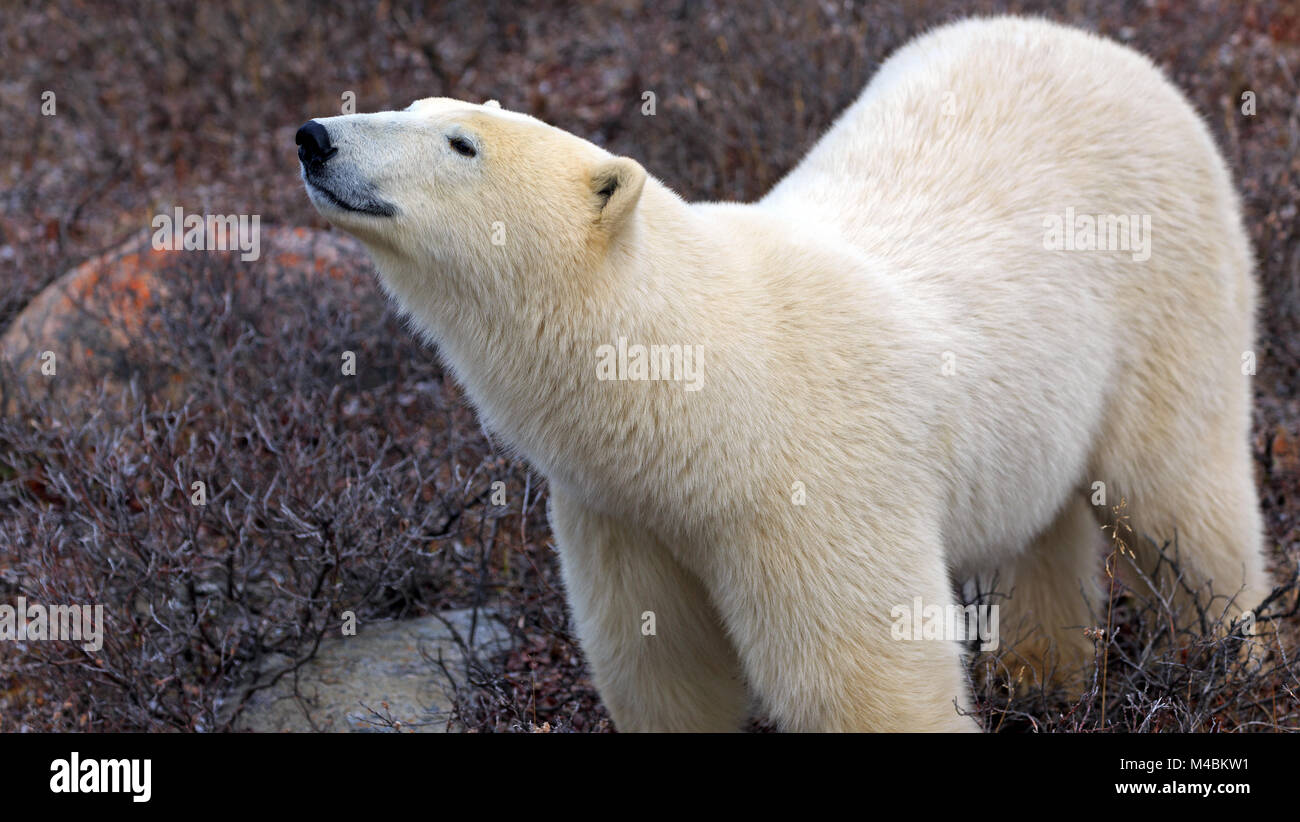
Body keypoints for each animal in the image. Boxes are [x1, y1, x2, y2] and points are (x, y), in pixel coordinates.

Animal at [296, 15, 1269, 732]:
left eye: (460, 143)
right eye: (412, 102)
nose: (315, 137)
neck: (704, 390)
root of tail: (1110, 49)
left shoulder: (810, 486)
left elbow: (866, 676)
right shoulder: (622, 512)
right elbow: (662, 669)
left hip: (1168, 290)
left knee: (1183, 500)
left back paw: (1239, 667)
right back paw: (1043, 675)